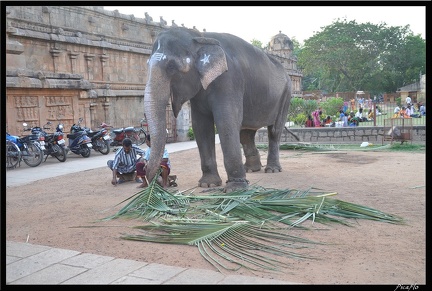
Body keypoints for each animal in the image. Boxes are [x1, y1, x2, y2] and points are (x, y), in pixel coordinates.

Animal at [145, 26, 294, 193]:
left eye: (171, 66)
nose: (156, 181)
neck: (200, 37)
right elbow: (201, 127)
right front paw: (208, 184)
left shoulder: (229, 80)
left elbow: (226, 122)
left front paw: (235, 188)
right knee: (246, 134)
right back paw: (251, 169)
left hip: (286, 95)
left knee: (274, 131)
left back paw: (272, 170)